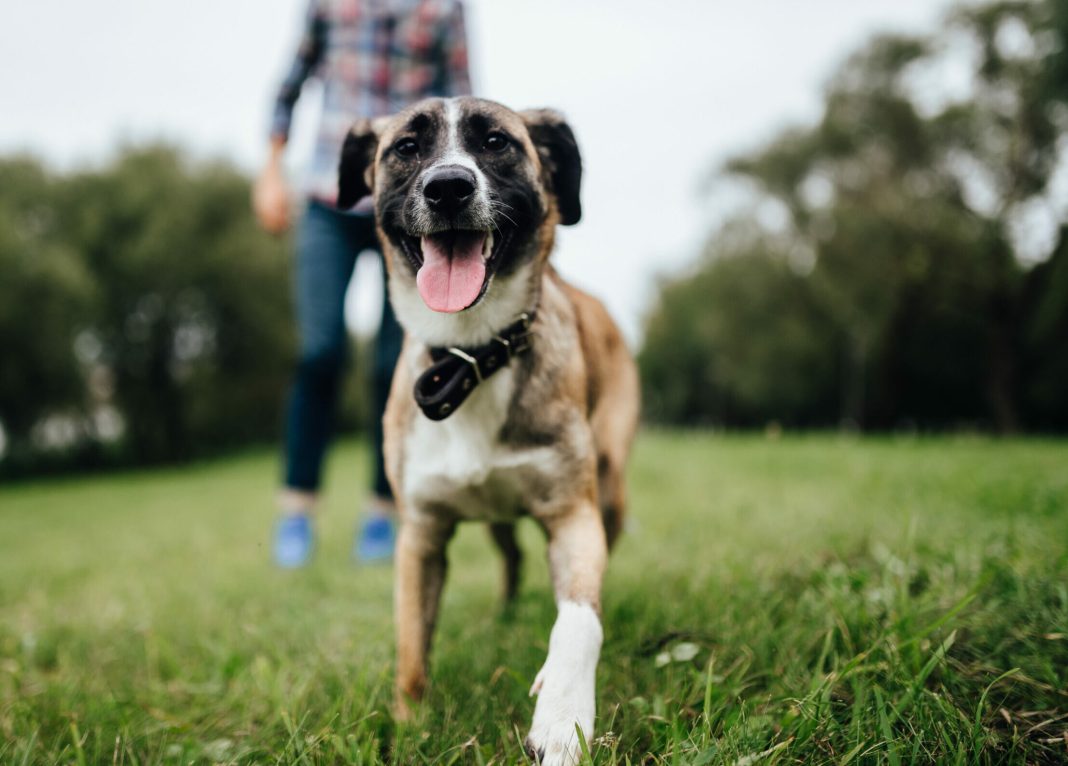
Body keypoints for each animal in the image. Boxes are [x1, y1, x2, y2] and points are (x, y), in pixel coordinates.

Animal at [337, 95, 636, 760]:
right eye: (406, 148)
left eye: (497, 142)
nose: (449, 186)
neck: (471, 355)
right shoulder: (420, 536)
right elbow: (411, 649)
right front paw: (410, 726)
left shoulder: (572, 515)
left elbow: (579, 618)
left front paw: (563, 719)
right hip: (498, 519)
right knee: (512, 556)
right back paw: (505, 613)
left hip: (609, 489)